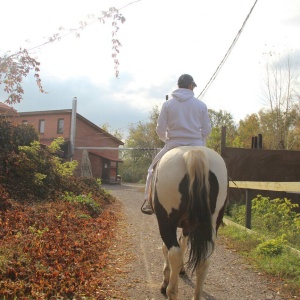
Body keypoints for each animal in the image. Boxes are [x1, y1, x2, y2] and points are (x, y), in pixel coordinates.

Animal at [150, 146, 227, 300]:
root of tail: (193, 152)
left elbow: (167, 249)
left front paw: (166, 280)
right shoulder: (187, 226)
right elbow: (184, 244)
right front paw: (181, 269)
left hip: (166, 222)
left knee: (174, 253)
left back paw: (170, 290)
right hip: (212, 224)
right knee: (204, 260)